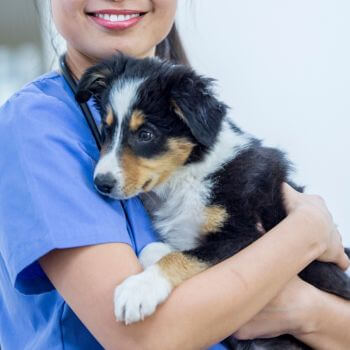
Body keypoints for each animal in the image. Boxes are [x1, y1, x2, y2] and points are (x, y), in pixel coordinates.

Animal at [76, 54, 350, 350]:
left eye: (146, 134)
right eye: (106, 129)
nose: (101, 183)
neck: (189, 174)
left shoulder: (246, 236)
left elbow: (183, 256)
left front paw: (138, 290)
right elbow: (156, 249)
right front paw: (156, 258)